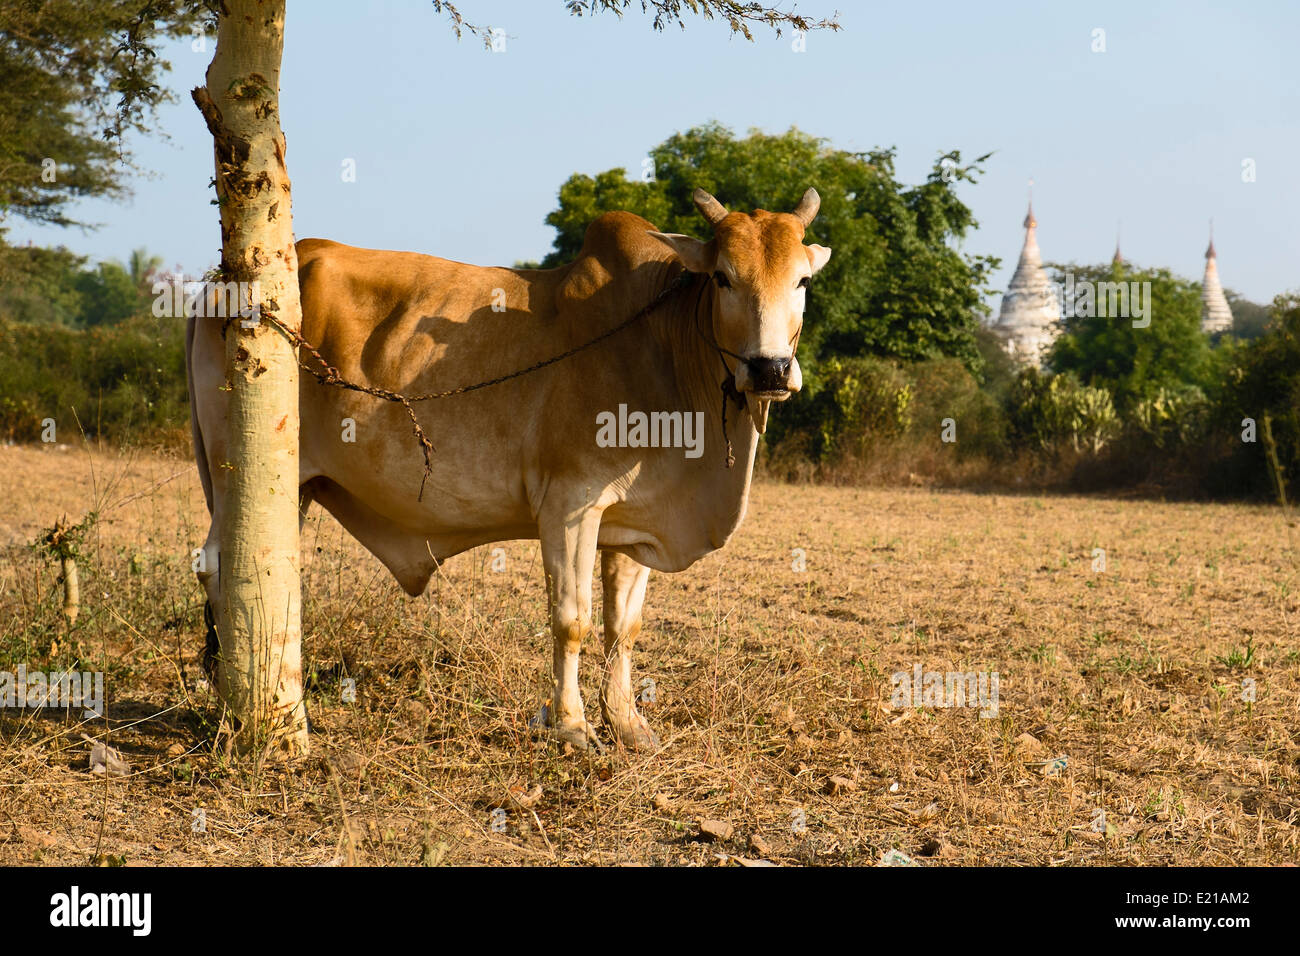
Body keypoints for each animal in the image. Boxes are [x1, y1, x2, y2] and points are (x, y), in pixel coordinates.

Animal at [187, 187, 826, 749]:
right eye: (723, 278)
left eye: (802, 280)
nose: (770, 369)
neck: (664, 347)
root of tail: (221, 281)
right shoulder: (570, 505)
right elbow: (572, 619)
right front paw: (572, 727)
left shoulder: (632, 522)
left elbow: (624, 628)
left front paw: (628, 725)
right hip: (242, 467)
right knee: (223, 567)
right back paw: (244, 708)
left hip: (290, 484)